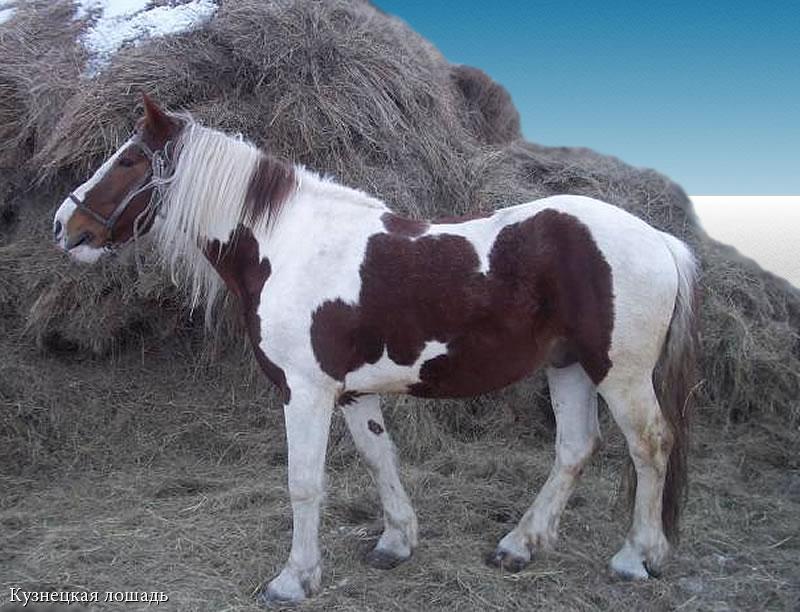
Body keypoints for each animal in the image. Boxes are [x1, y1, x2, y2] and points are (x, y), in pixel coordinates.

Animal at [53, 94, 696, 604]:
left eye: (129, 159)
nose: (65, 226)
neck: (287, 245)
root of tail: (658, 239)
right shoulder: (351, 393)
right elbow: (377, 457)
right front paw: (396, 541)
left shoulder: (305, 393)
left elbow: (304, 483)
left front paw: (294, 579)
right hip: (568, 367)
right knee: (574, 448)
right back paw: (519, 545)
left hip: (619, 374)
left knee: (650, 445)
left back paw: (636, 557)